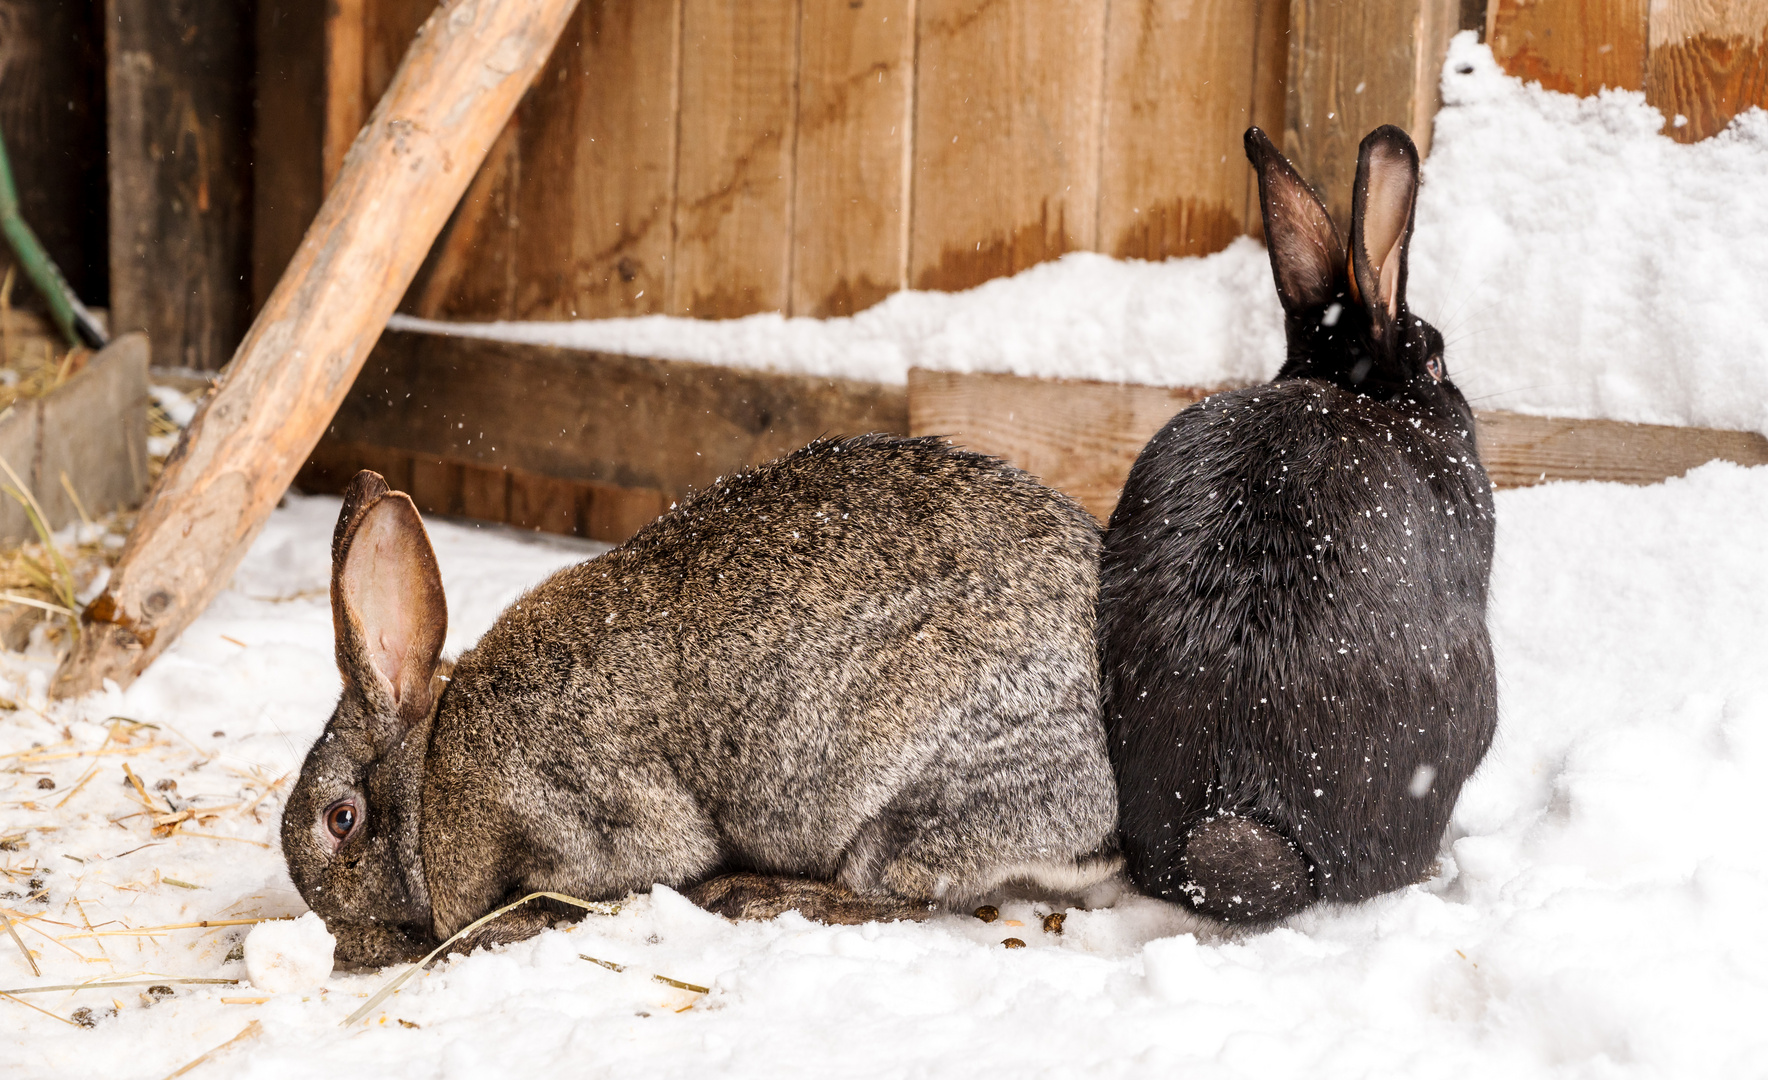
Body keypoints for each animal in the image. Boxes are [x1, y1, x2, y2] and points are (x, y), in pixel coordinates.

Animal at [288, 433, 1117, 961]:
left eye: (341, 821)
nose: (346, 944)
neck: (433, 769)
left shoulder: (580, 815)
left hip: (910, 791)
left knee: (902, 893)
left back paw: (755, 895)